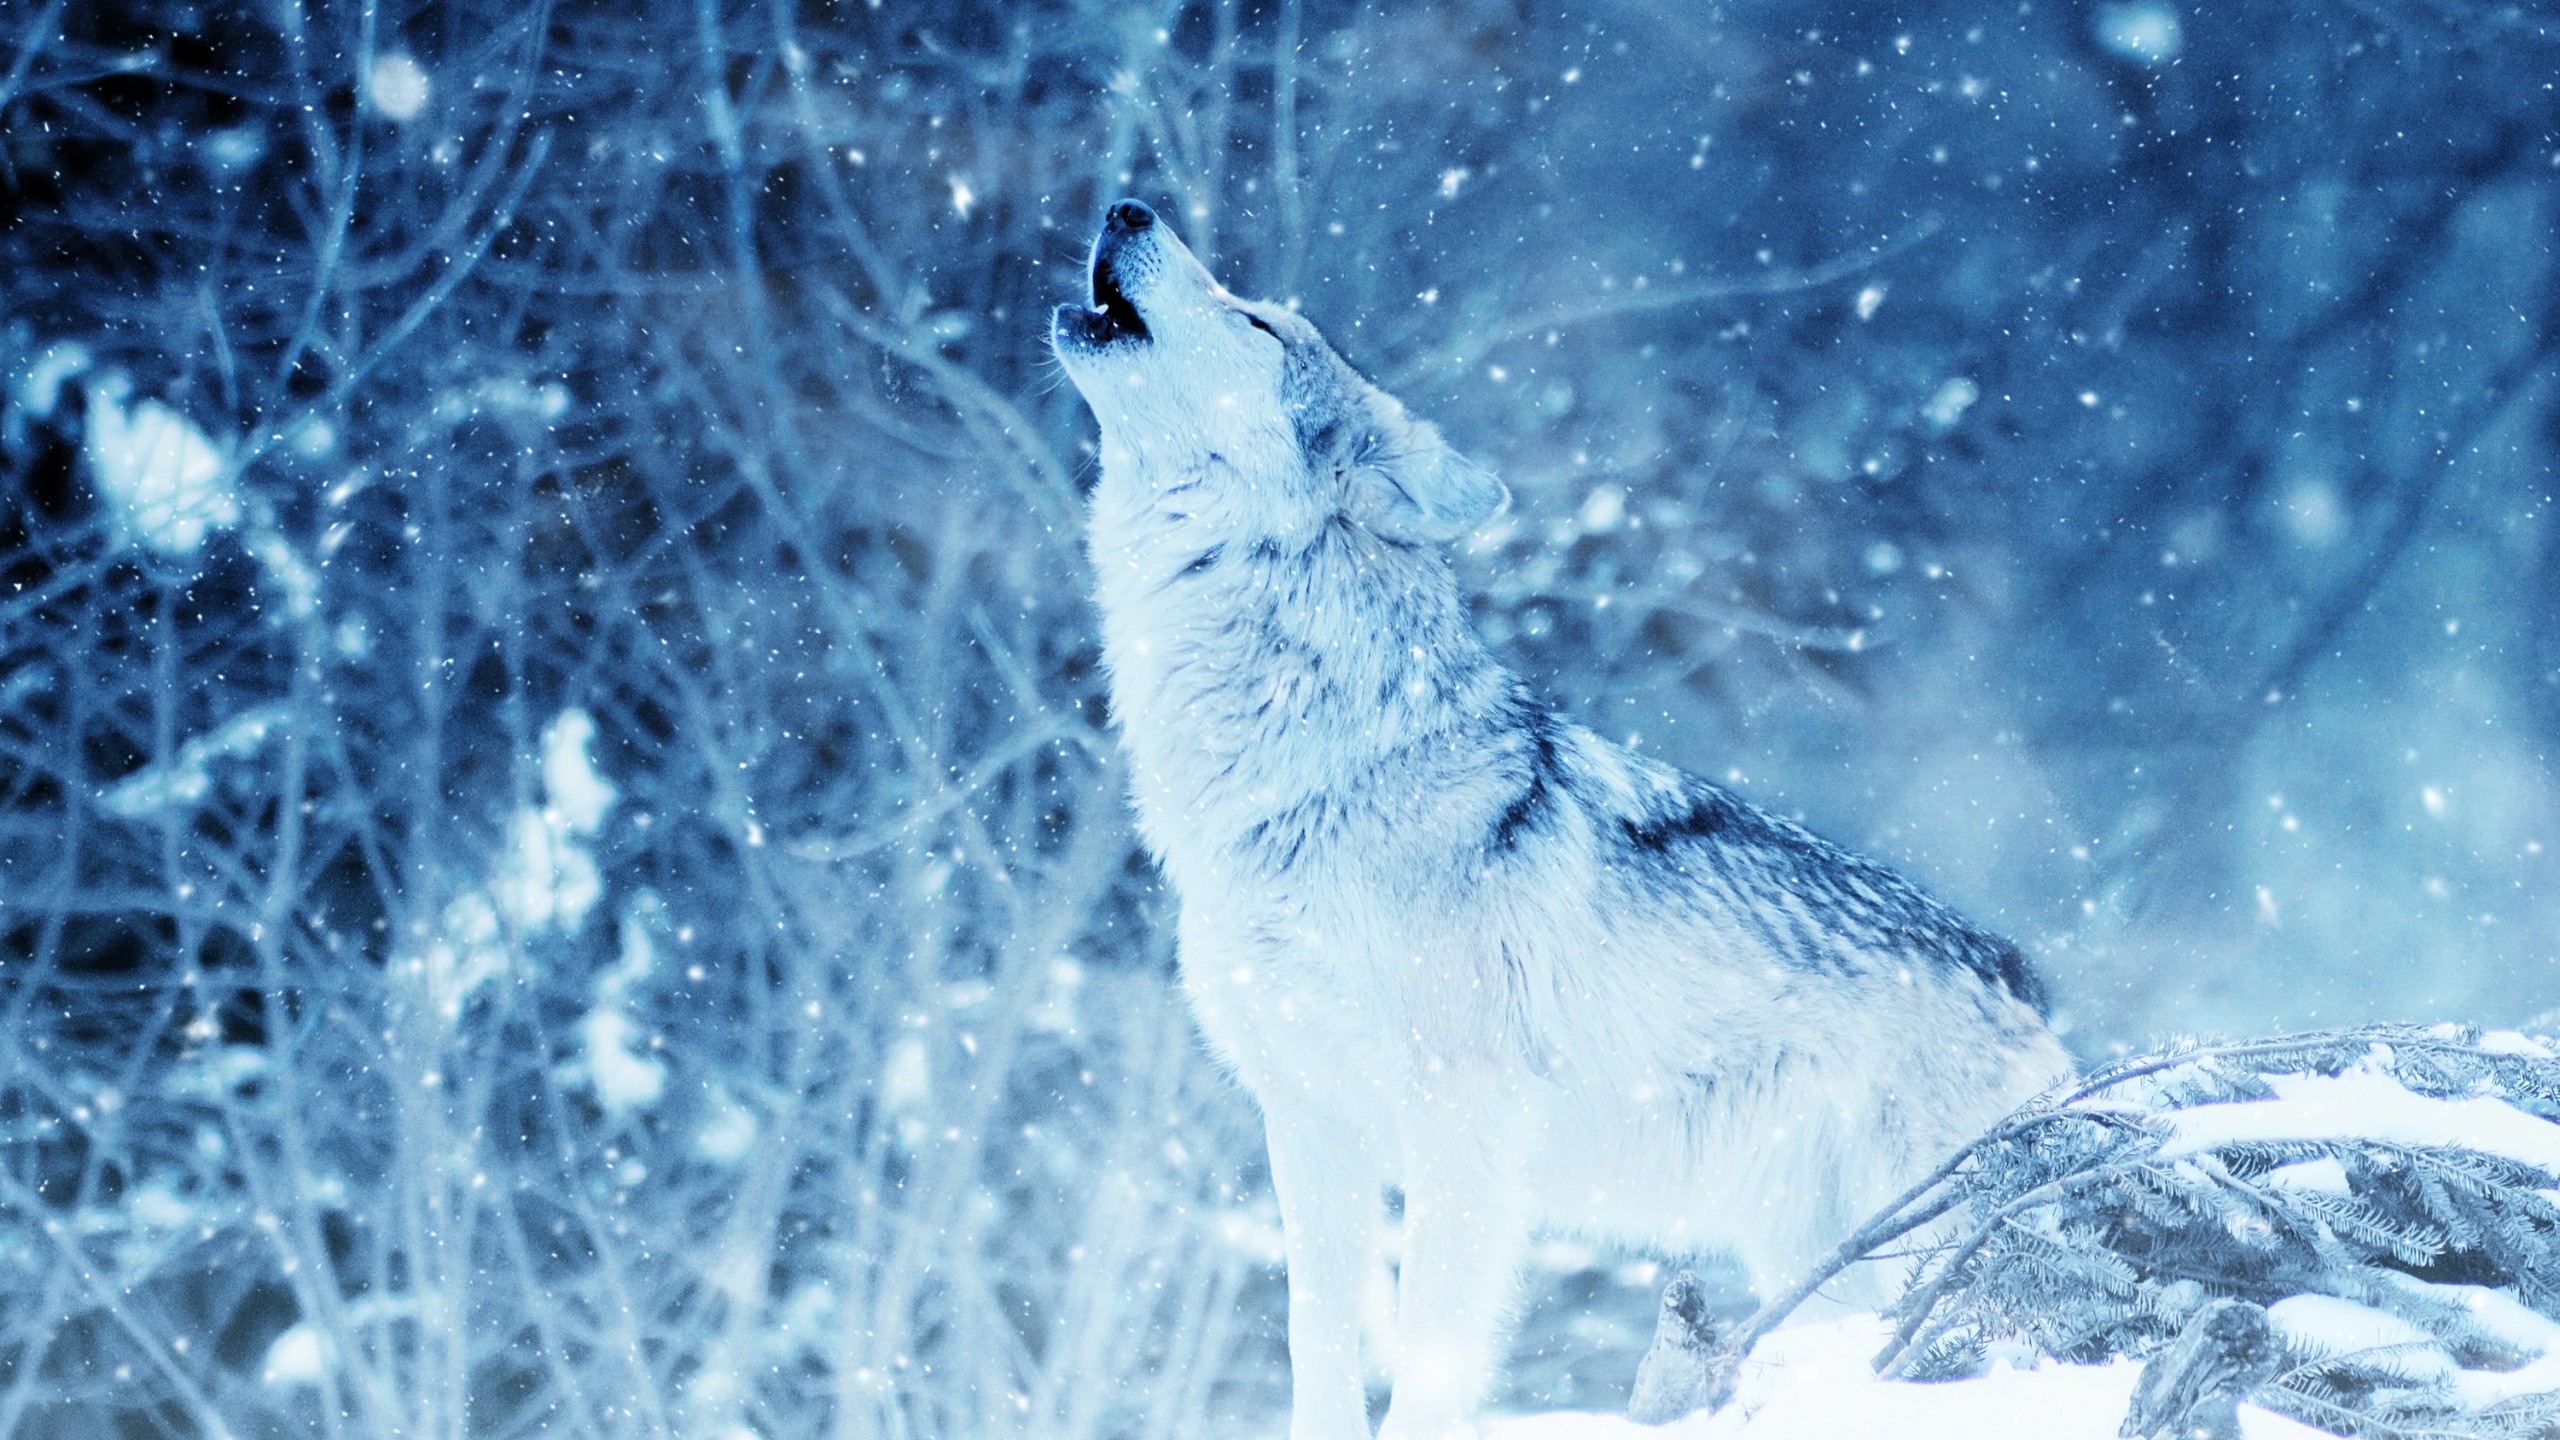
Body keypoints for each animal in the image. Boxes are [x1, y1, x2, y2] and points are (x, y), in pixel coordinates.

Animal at [1050, 200, 2072, 1440]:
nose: (1128, 206)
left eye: (1255, 322)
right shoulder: (1309, 1124)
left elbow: (1432, 1363)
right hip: (1814, 1255)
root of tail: (2027, 984)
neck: (1308, 770)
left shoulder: (1463, 1130)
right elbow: (1316, 1346)